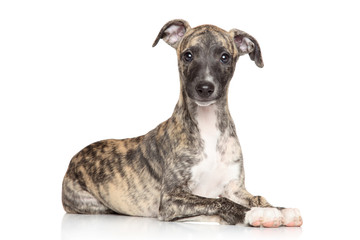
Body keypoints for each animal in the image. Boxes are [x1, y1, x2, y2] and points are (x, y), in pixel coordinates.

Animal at [62, 19, 304, 227]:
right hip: (92, 204)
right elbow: (219, 202)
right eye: (188, 55)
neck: (208, 127)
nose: (205, 88)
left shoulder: (234, 187)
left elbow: (257, 198)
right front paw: (254, 214)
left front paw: (279, 209)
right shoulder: (171, 199)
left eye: (224, 57)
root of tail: (74, 158)